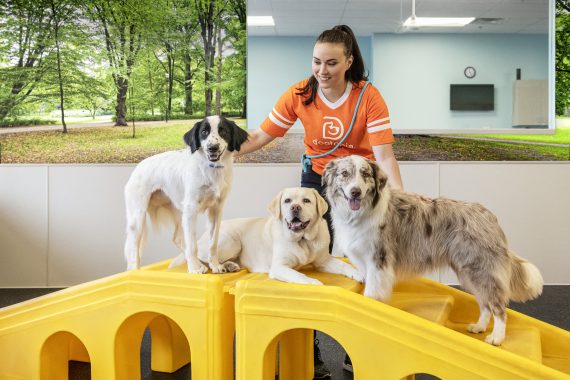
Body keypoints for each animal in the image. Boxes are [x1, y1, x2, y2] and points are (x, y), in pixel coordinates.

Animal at [123, 116, 247, 274]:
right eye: (204, 132)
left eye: (223, 131)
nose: (212, 147)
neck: (211, 169)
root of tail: (138, 167)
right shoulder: (191, 209)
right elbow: (192, 244)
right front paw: (195, 268)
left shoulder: (216, 209)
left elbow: (212, 243)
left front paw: (215, 265)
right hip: (138, 219)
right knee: (133, 251)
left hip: (177, 211)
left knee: (177, 238)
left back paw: (223, 264)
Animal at [166, 187, 360, 284]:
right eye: (287, 201)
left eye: (306, 201)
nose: (295, 207)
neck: (303, 240)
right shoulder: (279, 267)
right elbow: (300, 276)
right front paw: (315, 284)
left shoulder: (323, 261)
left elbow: (344, 266)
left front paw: (358, 274)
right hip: (232, 241)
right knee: (204, 257)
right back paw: (206, 266)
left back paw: (229, 266)